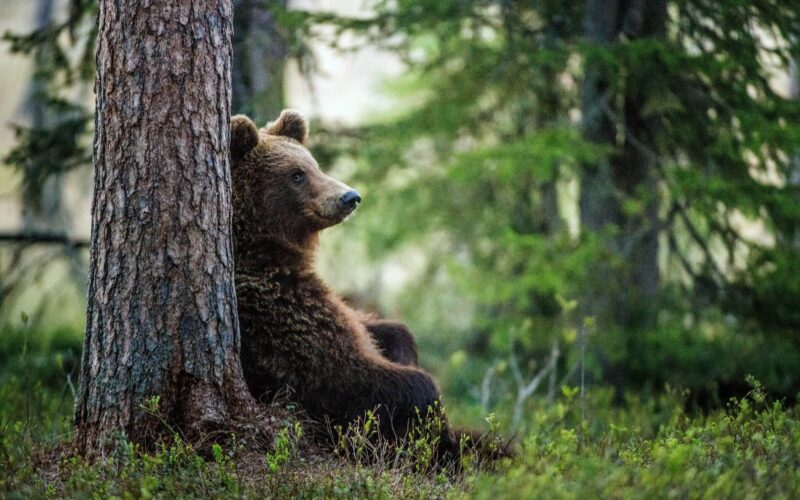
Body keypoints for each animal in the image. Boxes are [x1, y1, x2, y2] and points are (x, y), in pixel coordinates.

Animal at [228, 109, 460, 454]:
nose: (349, 197)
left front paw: (402, 347)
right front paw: (437, 431)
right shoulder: (281, 319)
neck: (265, 253)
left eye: (315, 165)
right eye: (297, 175)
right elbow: (347, 375)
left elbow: (381, 328)